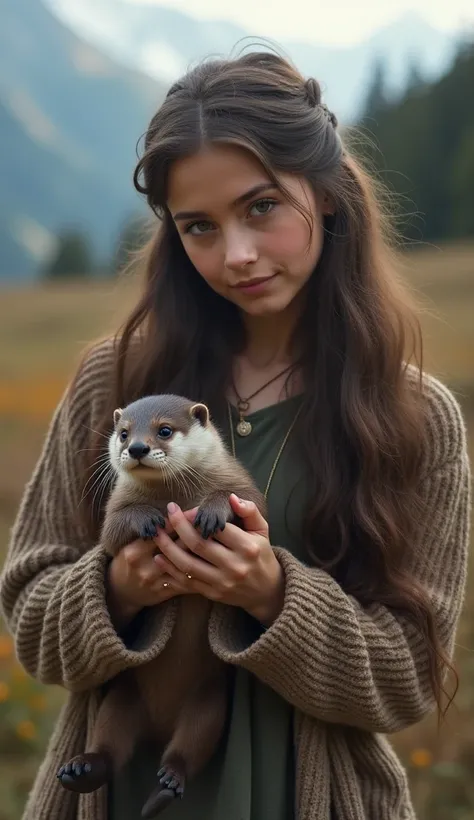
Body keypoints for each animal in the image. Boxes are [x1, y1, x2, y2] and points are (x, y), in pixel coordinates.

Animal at [55, 394, 266, 816]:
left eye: (164, 430)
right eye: (123, 433)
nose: (136, 447)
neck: (175, 497)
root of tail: (159, 728)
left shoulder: (243, 489)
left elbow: (245, 502)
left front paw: (213, 510)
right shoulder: (114, 512)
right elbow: (113, 531)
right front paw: (147, 518)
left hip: (208, 705)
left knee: (189, 749)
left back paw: (168, 782)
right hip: (122, 699)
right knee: (109, 744)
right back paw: (82, 769)